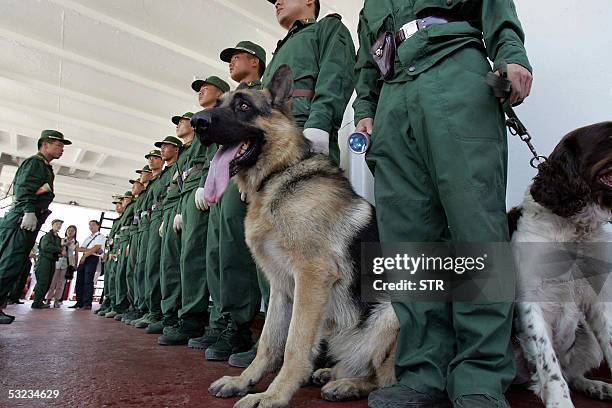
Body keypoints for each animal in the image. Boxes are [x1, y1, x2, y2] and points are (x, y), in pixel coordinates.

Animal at [194, 65, 400, 406]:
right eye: (218, 103)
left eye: (243, 106)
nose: (197, 122)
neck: (278, 175)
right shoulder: (281, 286)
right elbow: (268, 341)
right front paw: (244, 381)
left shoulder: (312, 277)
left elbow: (294, 344)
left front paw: (273, 394)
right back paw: (332, 373)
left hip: (390, 314)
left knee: (385, 379)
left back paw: (349, 385)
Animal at [510, 122, 612, 408]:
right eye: (609, 136)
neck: (572, 229)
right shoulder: (531, 299)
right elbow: (549, 364)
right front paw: (559, 401)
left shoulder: (599, 297)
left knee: (572, 373)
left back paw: (598, 387)